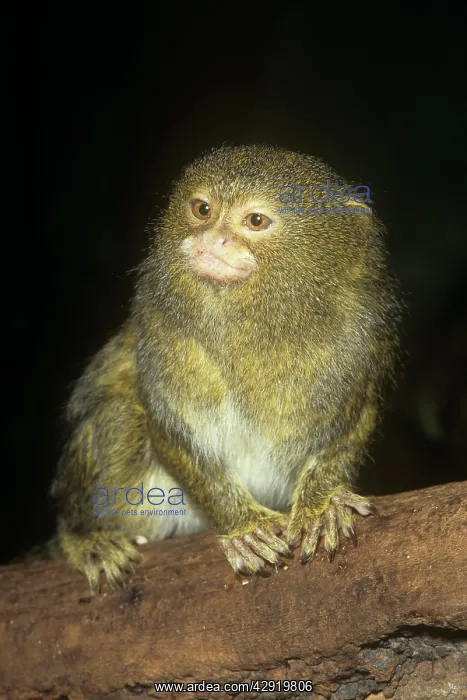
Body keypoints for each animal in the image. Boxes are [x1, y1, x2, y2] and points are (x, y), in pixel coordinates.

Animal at [50, 144, 400, 592]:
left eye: (255, 221)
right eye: (202, 209)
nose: (211, 238)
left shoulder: (364, 342)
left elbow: (354, 422)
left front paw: (320, 502)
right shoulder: (161, 338)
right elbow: (167, 427)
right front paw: (244, 526)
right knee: (119, 415)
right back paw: (83, 537)